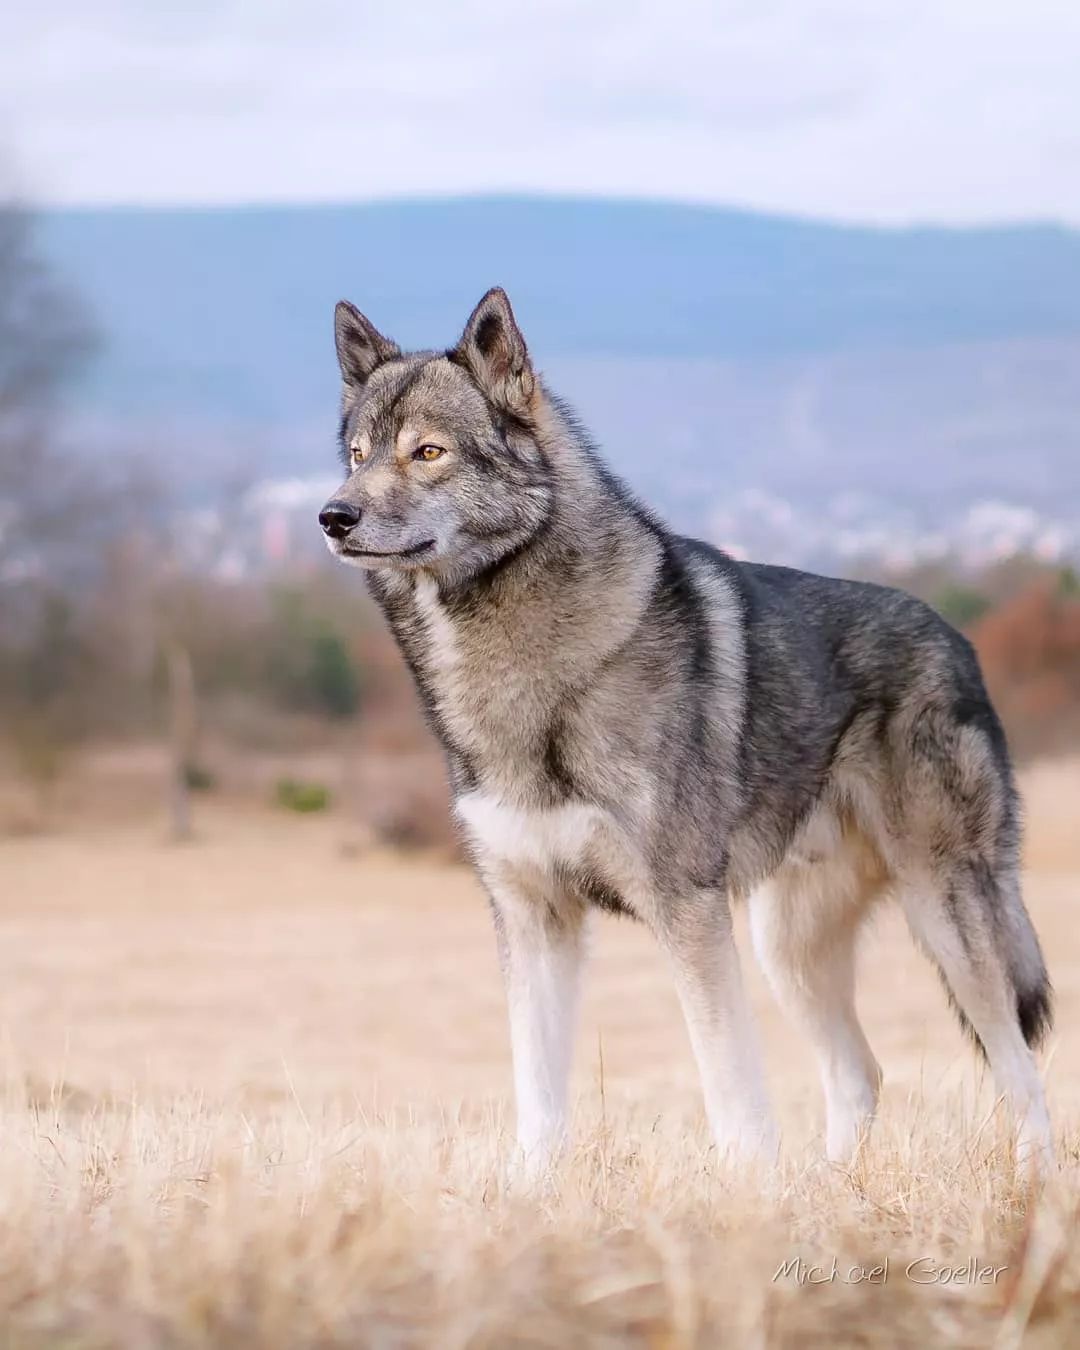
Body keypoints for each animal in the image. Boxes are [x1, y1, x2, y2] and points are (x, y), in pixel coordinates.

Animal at [315, 284, 1053, 1171]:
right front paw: (531, 1190)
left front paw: (746, 1187)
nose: (332, 516)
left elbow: (731, 1087)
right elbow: (538, 1099)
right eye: (358, 454)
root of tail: (961, 644)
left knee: (1020, 1070)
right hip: (788, 948)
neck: (521, 673)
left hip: (946, 921)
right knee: (861, 1073)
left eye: (427, 452)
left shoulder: (687, 913)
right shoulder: (533, 918)